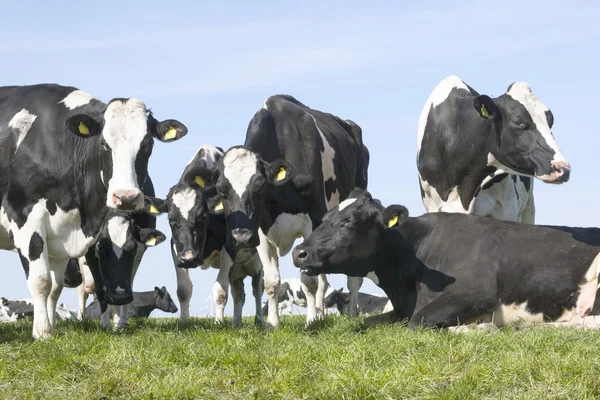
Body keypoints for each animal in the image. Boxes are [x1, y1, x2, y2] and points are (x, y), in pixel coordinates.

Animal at [0, 84, 186, 338]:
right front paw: (43, 333)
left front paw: (49, 326)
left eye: (148, 144)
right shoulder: (24, 216)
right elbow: (41, 281)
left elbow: (55, 287)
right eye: (104, 144)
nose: (126, 197)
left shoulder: (61, 233)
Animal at [145, 145, 262, 326]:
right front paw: (184, 322)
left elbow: (220, 291)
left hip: (256, 262)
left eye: (201, 216)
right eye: (171, 220)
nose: (189, 258)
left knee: (257, 289)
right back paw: (237, 323)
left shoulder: (230, 244)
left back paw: (259, 320)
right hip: (237, 270)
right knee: (239, 294)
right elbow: (183, 289)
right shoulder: (176, 248)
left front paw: (218, 322)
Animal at [196, 96, 370, 328]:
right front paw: (273, 323)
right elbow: (271, 281)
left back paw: (349, 314)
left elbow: (309, 281)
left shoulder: (313, 222)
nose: (241, 237)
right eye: (222, 190)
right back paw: (322, 314)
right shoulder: (261, 231)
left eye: (259, 185)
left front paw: (310, 321)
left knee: (351, 280)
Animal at [292, 189, 600, 330]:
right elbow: (371, 322)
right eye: (325, 218)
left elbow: (418, 322)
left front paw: (482, 327)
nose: (299, 253)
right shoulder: (401, 308)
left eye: (348, 221)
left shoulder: (477, 292)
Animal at [414, 76, 568, 222]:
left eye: (550, 122)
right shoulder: (434, 206)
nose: (563, 168)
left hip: (528, 208)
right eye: (518, 121)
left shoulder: (508, 206)